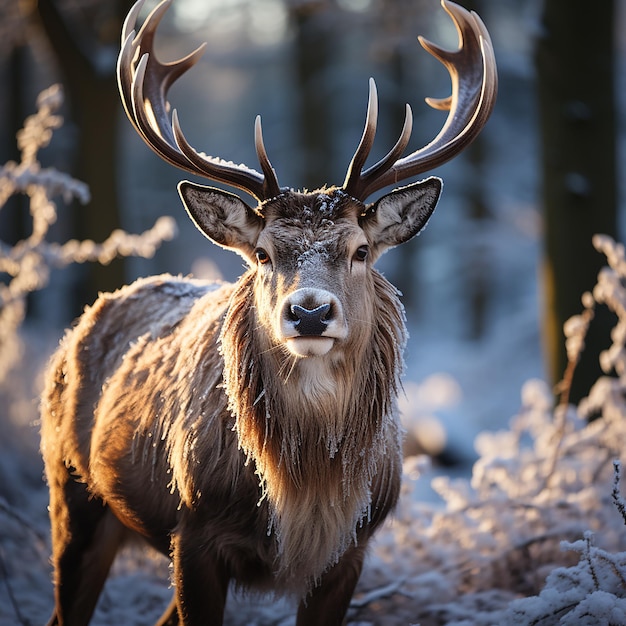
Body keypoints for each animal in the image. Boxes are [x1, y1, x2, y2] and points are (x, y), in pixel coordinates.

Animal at [40, 0, 498, 620]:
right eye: (262, 252)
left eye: (360, 250)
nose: (309, 313)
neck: (305, 495)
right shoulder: (194, 529)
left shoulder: (353, 549)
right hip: (70, 487)